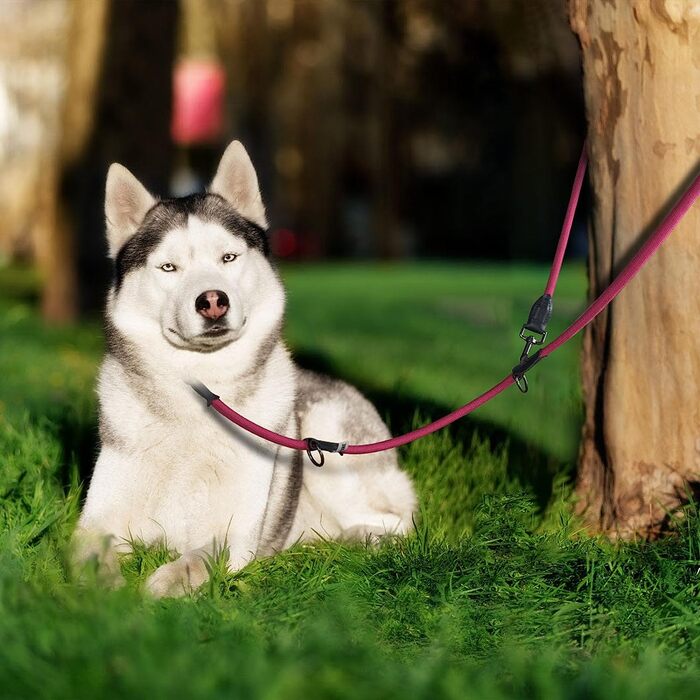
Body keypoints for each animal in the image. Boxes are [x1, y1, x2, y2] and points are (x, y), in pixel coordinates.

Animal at [73, 141, 416, 596]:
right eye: (169, 267)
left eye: (228, 257)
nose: (212, 300)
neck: (200, 395)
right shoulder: (96, 522)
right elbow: (89, 551)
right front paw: (102, 590)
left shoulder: (233, 537)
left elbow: (200, 558)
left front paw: (165, 584)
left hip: (331, 448)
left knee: (398, 522)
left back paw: (353, 540)